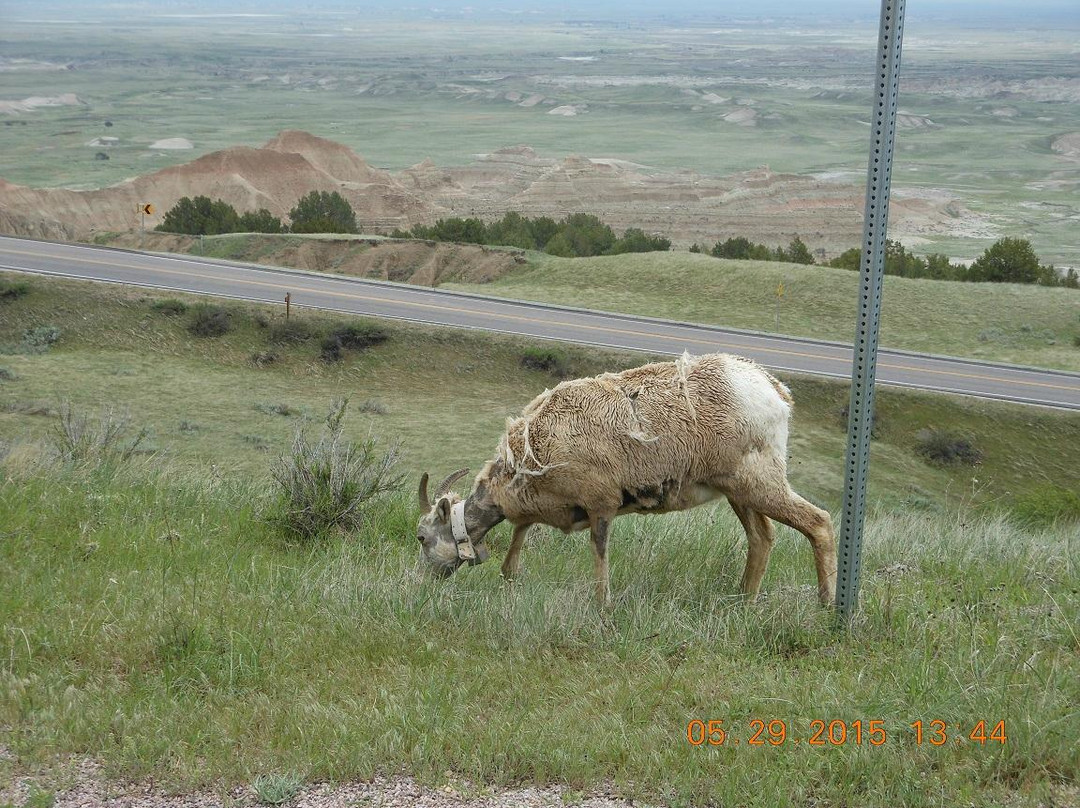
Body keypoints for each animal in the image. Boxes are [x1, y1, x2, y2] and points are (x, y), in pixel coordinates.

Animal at [416, 349, 838, 604]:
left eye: (421, 537)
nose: (422, 581)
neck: (529, 454)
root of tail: (775, 391)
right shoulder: (537, 511)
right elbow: (513, 554)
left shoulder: (602, 504)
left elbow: (600, 557)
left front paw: (602, 606)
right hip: (738, 492)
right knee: (762, 538)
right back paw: (743, 602)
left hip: (761, 485)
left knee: (819, 523)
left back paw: (825, 607)